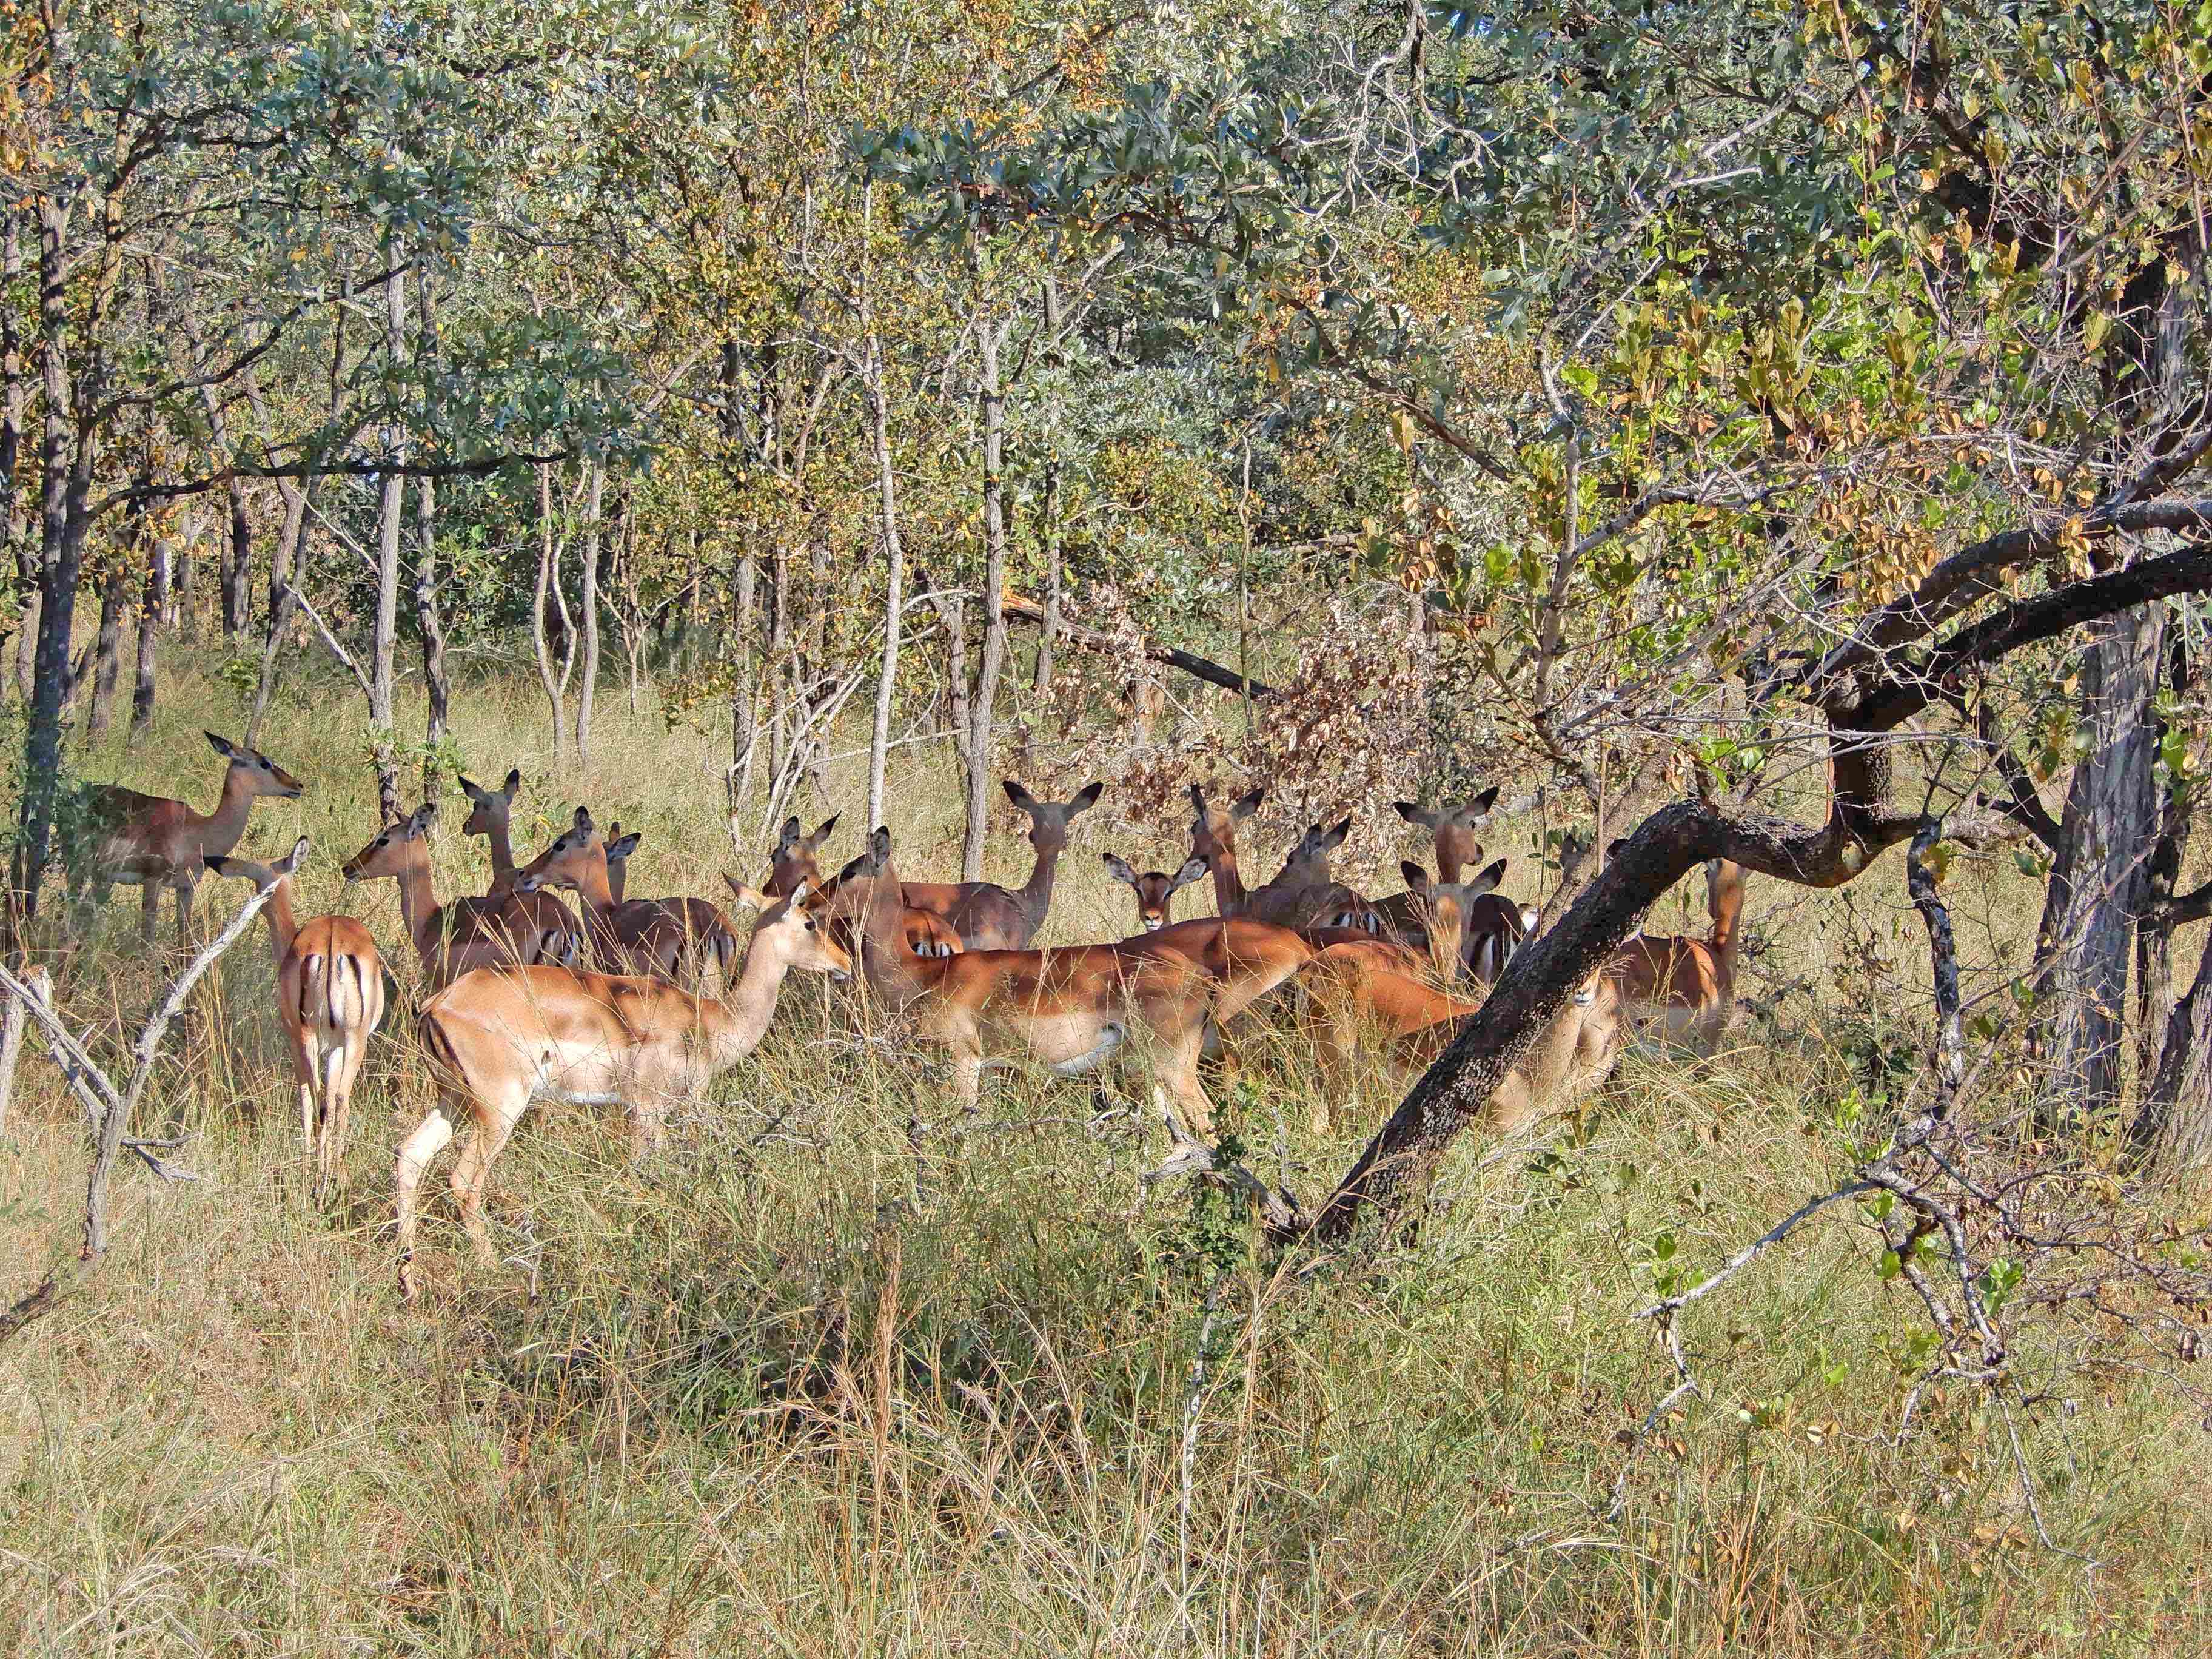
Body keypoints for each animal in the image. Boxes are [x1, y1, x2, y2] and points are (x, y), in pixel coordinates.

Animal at [69, 731, 305, 943]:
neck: (197, 833)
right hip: (79, 870)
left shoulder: (186, 888)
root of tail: (78, 796)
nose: (298, 785)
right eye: (265, 763)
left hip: (103, 878)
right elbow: (147, 939)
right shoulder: (153, 882)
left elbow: (186, 940)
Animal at [205, 837, 385, 1198]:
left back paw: (320, 1175)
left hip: (316, 1039)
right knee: (331, 1097)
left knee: (320, 1096)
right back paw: (326, 1176)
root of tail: (331, 942)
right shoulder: (330, 1044)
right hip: (341, 1039)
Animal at [396, 881, 852, 1299]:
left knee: (411, 1156)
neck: (712, 1020)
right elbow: (647, 1172)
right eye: (809, 922)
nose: (844, 962)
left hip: (454, 1102)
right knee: (462, 1180)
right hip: (499, 1110)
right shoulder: (651, 1108)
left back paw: (410, 1283)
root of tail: (438, 1005)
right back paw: (494, 1270)